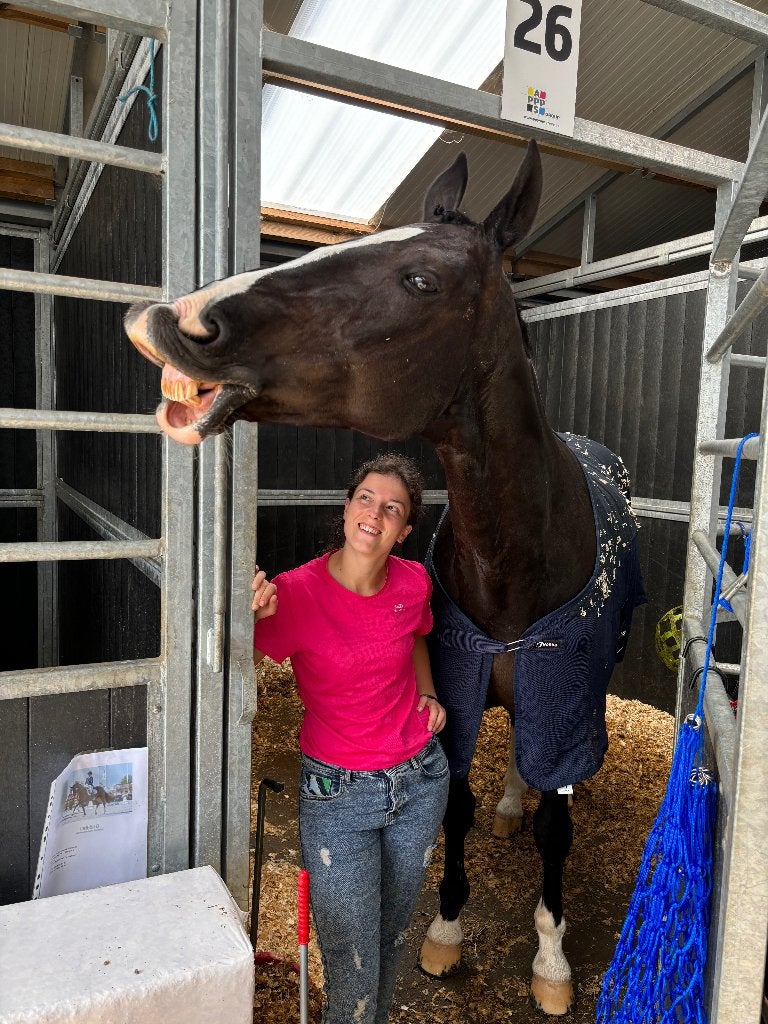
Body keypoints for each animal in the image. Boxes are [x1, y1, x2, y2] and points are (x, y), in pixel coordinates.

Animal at [124, 140, 645, 1015]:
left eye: (423, 281)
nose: (178, 319)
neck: (520, 563)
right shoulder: (458, 694)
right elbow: (456, 803)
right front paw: (446, 931)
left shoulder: (566, 702)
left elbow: (558, 826)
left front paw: (550, 962)